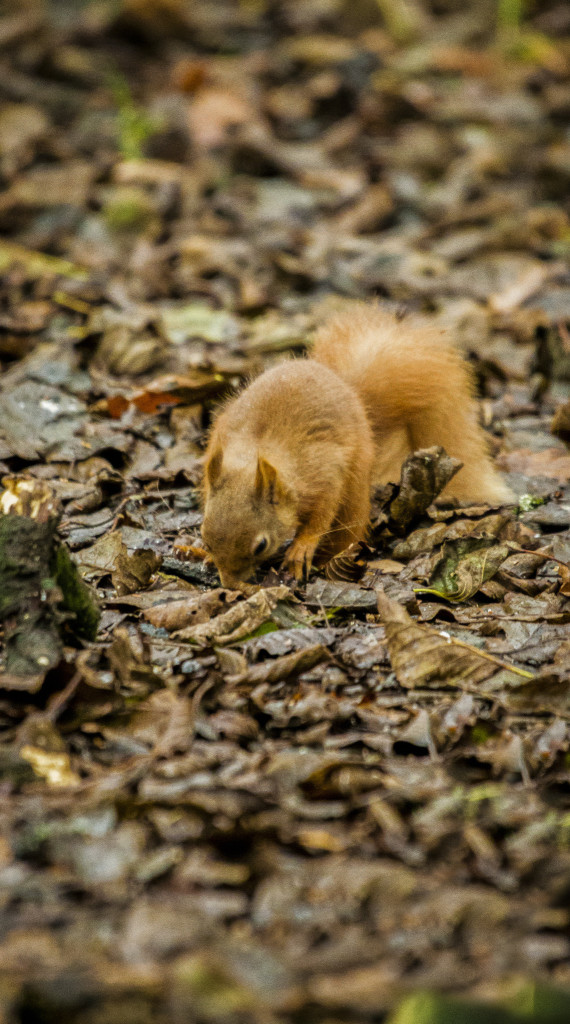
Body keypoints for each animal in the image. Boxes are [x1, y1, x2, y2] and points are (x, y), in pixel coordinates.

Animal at [201, 303, 511, 589]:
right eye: (204, 536)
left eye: (261, 546)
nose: (230, 585)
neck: (259, 452)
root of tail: (351, 391)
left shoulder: (325, 472)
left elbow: (322, 515)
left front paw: (302, 548)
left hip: (356, 477)